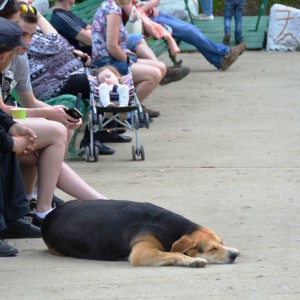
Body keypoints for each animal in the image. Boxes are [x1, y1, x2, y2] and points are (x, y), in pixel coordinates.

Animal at [41, 199, 239, 268]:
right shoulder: (142, 252)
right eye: (212, 249)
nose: (234, 255)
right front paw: (192, 260)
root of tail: (50, 215)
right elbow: (174, 253)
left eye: (221, 243)